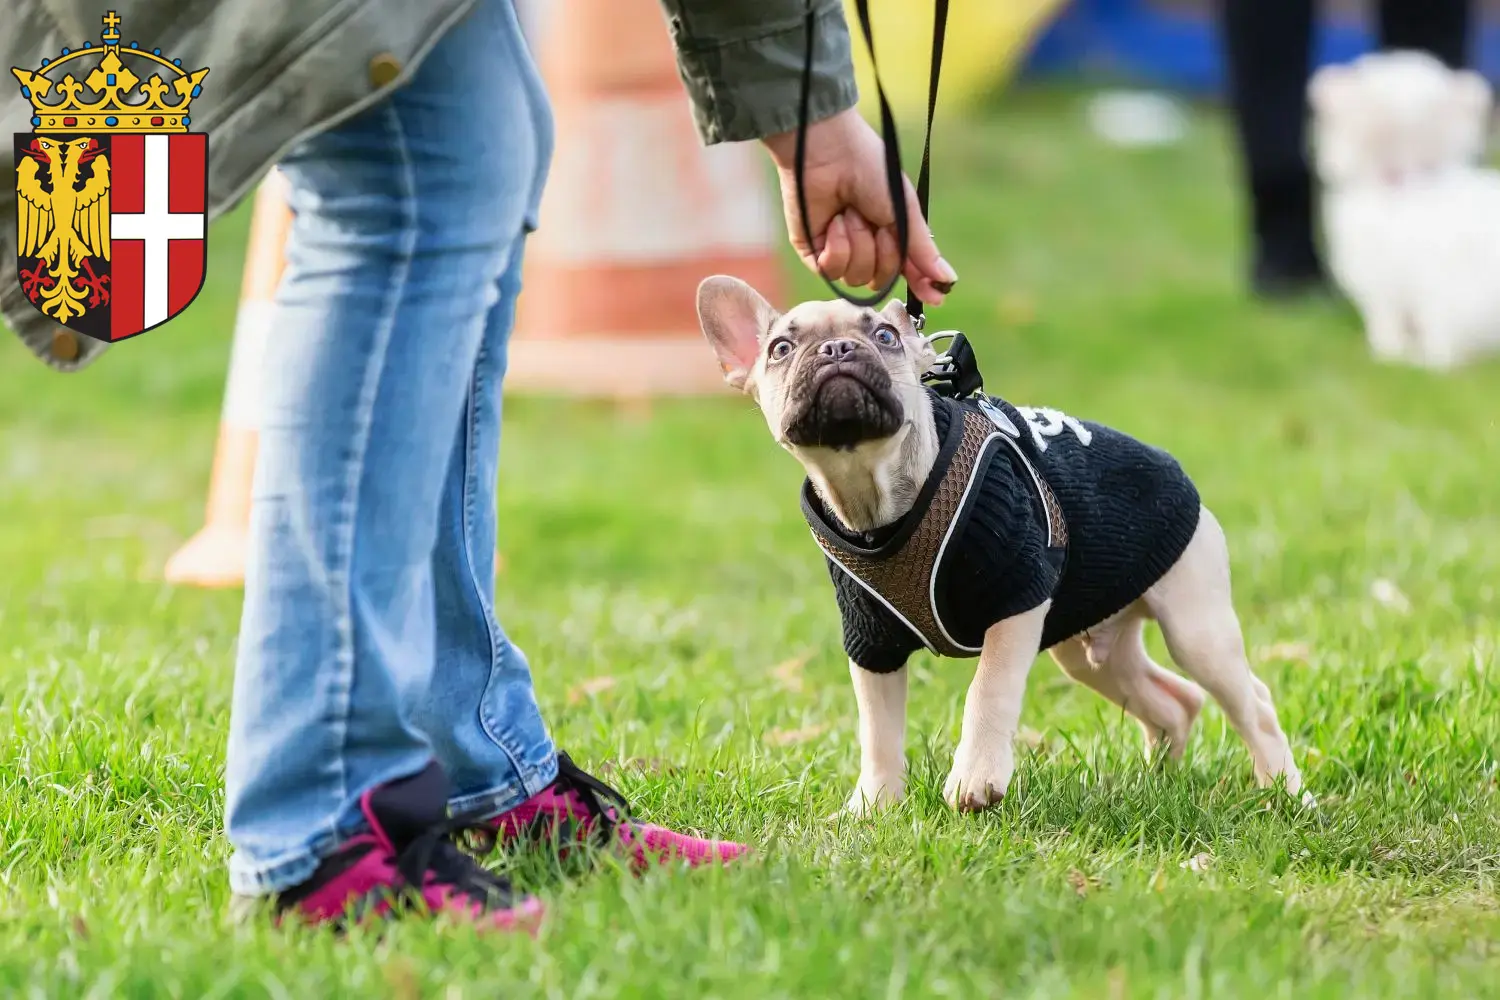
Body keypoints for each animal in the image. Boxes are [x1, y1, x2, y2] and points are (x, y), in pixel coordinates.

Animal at [699, 274, 1302, 815]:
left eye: (886, 336)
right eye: (780, 349)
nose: (837, 349)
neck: (875, 492)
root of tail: (1180, 475)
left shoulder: (1016, 598)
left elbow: (987, 691)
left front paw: (975, 778)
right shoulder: (871, 641)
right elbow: (877, 728)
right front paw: (873, 806)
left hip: (1194, 626)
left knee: (1252, 704)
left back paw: (1286, 792)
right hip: (1089, 651)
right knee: (1175, 700)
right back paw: (1160, 780)